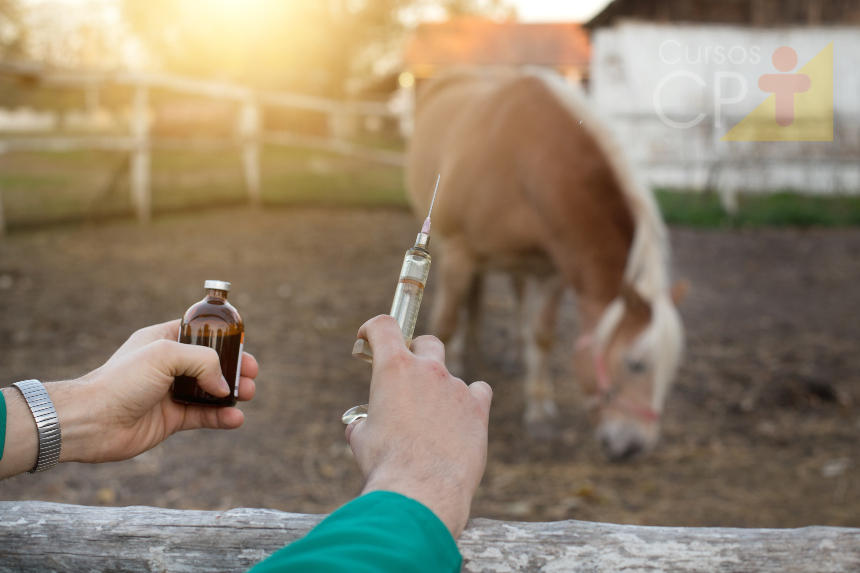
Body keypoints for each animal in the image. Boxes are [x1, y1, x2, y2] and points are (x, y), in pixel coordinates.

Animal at [408, 69, 684, 460]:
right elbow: (444, 324)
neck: (522, 159)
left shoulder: (552, 273)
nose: (634, 446)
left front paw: (538, 409)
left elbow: (542, 334)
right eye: (635, 363)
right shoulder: (459, 252)